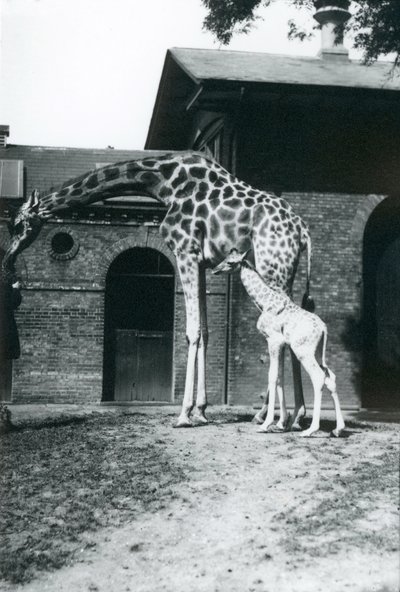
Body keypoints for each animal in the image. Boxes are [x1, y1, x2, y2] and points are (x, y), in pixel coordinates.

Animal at [4, 150, 314, 428]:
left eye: (17, 224)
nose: (7, 258)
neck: (163, 183)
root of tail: (302, 229)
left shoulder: (185, 251)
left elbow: (192, 331)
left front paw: (184, 414)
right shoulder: (202, 262)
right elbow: (205, 331)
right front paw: (201, 411)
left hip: (272, 268)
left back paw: (275, 416)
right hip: (283, 272)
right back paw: (293, 415)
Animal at [214, 247, 346, 438]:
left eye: (230, 262)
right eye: (225, 258)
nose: (215, 270)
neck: (264, 303)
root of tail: (323, 328)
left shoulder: (273, 340)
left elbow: (272, 376)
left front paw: (266, 424)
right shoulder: (282, 344)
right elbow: (280, 377)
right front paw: (281, 423)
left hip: (303, 351)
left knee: (318, 377)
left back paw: (310, 430)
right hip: (317, 352)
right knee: (330, 377)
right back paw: (338, 429)